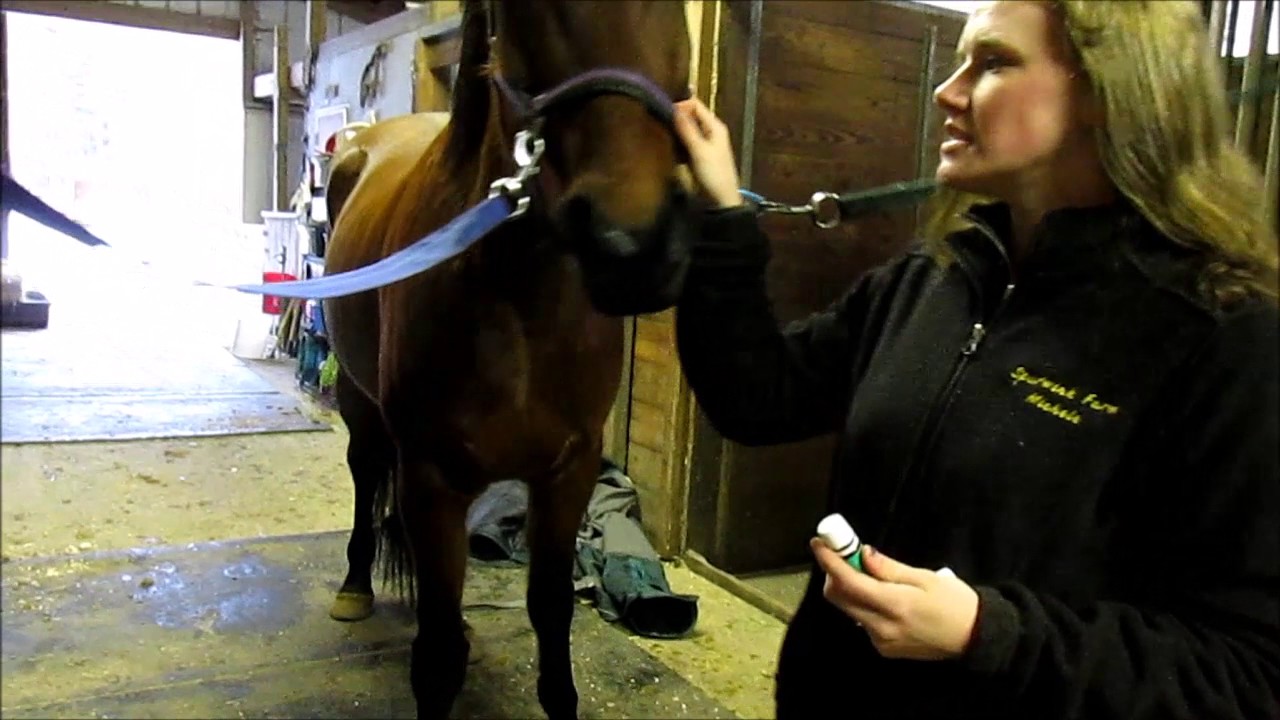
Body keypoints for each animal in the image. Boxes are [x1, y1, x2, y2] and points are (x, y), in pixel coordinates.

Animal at [318, 1, 695, 717]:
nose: (633, 246)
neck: (519, 302)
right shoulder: (431, 477)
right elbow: (437, 659)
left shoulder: (568, 472)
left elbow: (549, 611)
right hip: (358, 400)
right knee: (361, 470)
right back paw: (353, 586)